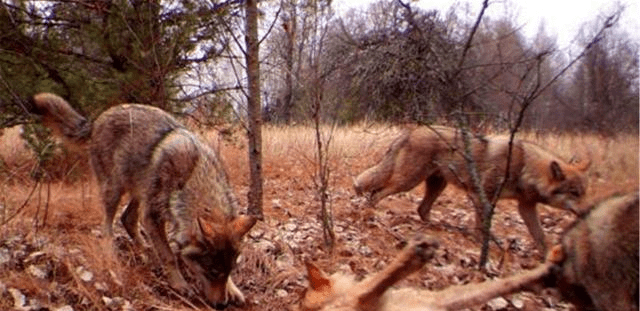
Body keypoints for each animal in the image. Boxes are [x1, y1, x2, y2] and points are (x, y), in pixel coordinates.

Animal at [30, 92, 255, 310]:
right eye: (212, 271)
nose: (222, 305)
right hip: (115, 190)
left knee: (127, 219)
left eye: (229, 270)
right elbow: (169, 256)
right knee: (107, 226)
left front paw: (233, 290)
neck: (194, 175)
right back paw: (112, 254)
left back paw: (147, 251)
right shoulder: (152, 216)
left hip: (140, 192)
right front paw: (179, 284)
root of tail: (99, 118)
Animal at [356, 126, 592, 254]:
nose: (588, 211)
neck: (524, 166)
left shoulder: (525, 206)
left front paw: (547, 258)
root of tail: (411, 131)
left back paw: (440, 227)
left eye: (584, 192)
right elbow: (482, 224)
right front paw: (481, 243)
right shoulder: (482, 196)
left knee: (421, 209)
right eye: (574, 193)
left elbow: (541, 237)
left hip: (436, 185)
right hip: (408, 182)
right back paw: (371, 214)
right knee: (377, 193)